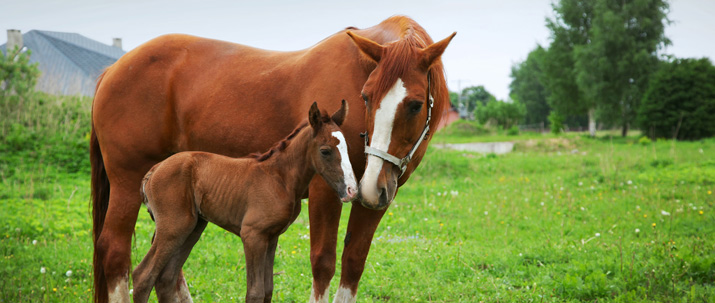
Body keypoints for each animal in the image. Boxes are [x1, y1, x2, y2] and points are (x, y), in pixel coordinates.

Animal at [133, 101, 356, 302]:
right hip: (174, 226)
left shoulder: (271, 237)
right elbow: (255, 292)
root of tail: (154, 170)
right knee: (143, 276)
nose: (351, 190)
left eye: (347, 148)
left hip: (193, 227)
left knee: (166, 278)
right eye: (325, 151)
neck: (280, 178)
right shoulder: (252, 235)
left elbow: (267, 290)